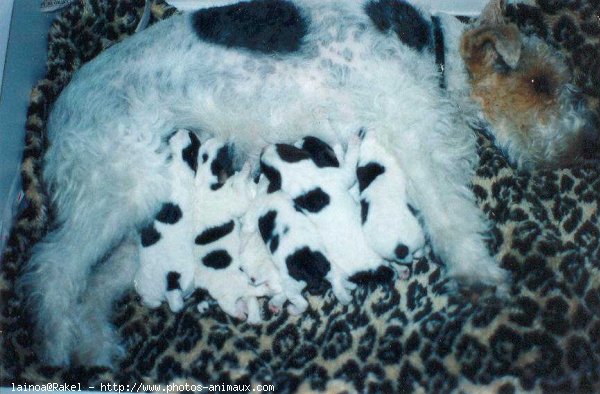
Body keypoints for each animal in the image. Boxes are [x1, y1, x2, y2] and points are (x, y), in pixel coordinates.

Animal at [21, 0, 596, 366]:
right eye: (540, 82)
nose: (586, 146)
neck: (434, 47)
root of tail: (58, 111)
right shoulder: (412, 131)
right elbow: (451, 213)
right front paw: (480, 276)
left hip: (142, 214)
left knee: (95, 286)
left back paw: (95, 350)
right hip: (117, 191)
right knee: (53, 267)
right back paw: (58, 347)